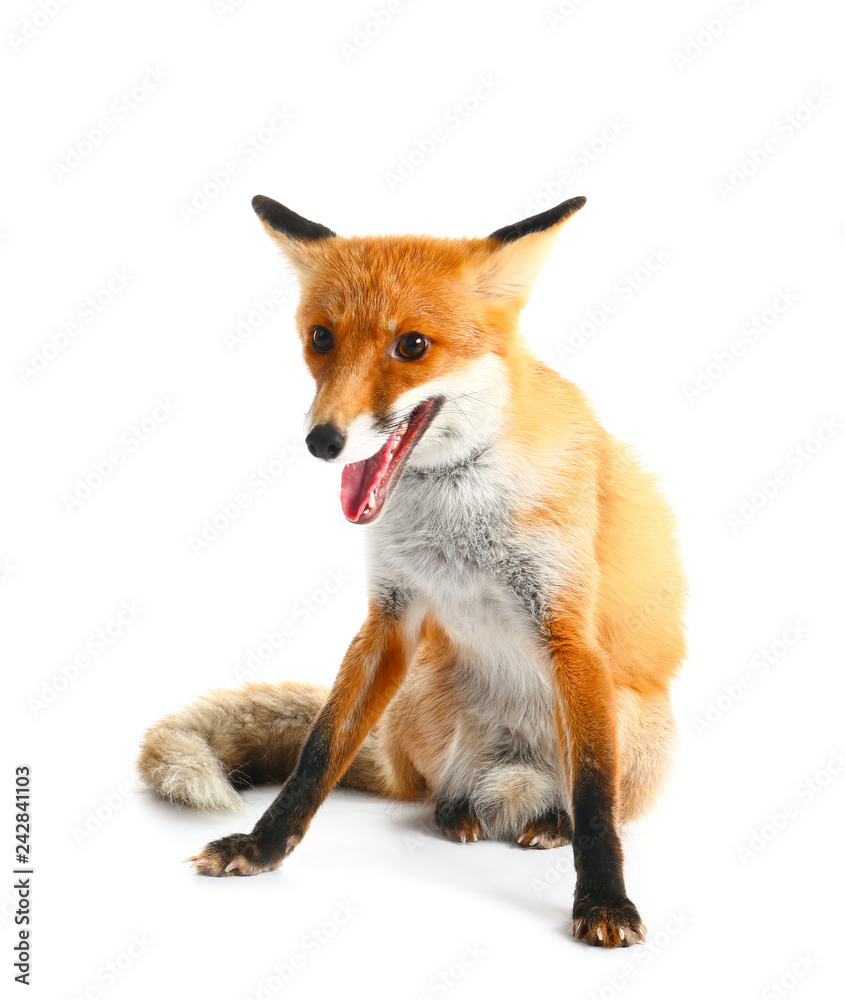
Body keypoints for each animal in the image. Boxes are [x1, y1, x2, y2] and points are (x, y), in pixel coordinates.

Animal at [138, 192, 686, 948]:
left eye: (413, 347)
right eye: (320, 338)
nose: (322, 441)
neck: (458, 508)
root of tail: (511, 781)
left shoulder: (570, 631)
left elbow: (597, 797)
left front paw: (604, 899)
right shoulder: (390, 618)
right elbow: (320, 750)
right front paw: (263, 846)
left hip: (632, 714)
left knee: (576, 797)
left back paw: (550, 823)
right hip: (424, 692)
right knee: (432, 789)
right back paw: (457, 809)